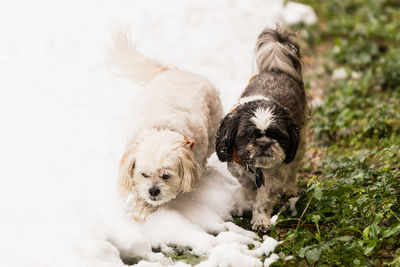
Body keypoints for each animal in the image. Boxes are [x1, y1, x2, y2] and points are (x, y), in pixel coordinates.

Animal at [108, 31, 223, 222]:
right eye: (144, 174)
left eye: (166, 176)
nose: (153, 191)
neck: (161, 128)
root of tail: (177, 71)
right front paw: (139, 210)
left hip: (214, 131)